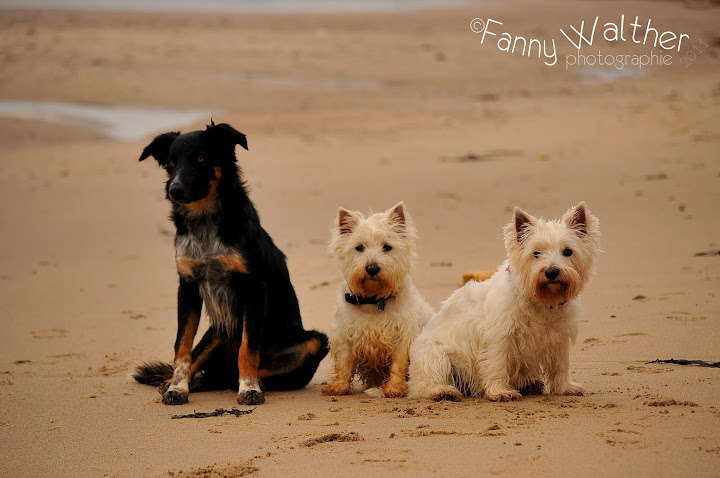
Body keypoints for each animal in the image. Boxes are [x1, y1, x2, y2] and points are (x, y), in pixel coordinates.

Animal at [133, 121, 330, 406]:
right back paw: (175, 382)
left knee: (234, 374)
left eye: (200, 159)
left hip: (314, 341)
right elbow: (182, 348)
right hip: (217, 331)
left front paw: (249, 388)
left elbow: (248, 348)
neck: (204, 219)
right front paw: (177, 388)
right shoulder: (187, 287)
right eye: (171, 163)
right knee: (203, 365)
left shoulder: (254, 288)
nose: (174, 190)